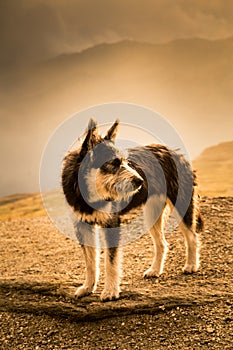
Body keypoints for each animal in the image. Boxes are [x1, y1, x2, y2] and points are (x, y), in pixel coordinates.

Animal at [61, 117, 202, 300]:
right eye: (113, 164)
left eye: (126, 162)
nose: (140, 181)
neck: (87, 191)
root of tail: (177, 153)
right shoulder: (82, 225)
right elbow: (90, 263)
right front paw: (87, 287)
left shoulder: (112, 224)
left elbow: (110, 262)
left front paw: (110, 291)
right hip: (152, 214)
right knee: (162, 243)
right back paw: (155, 270)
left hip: (181, 206)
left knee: (192, 236)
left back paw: (191, 265)